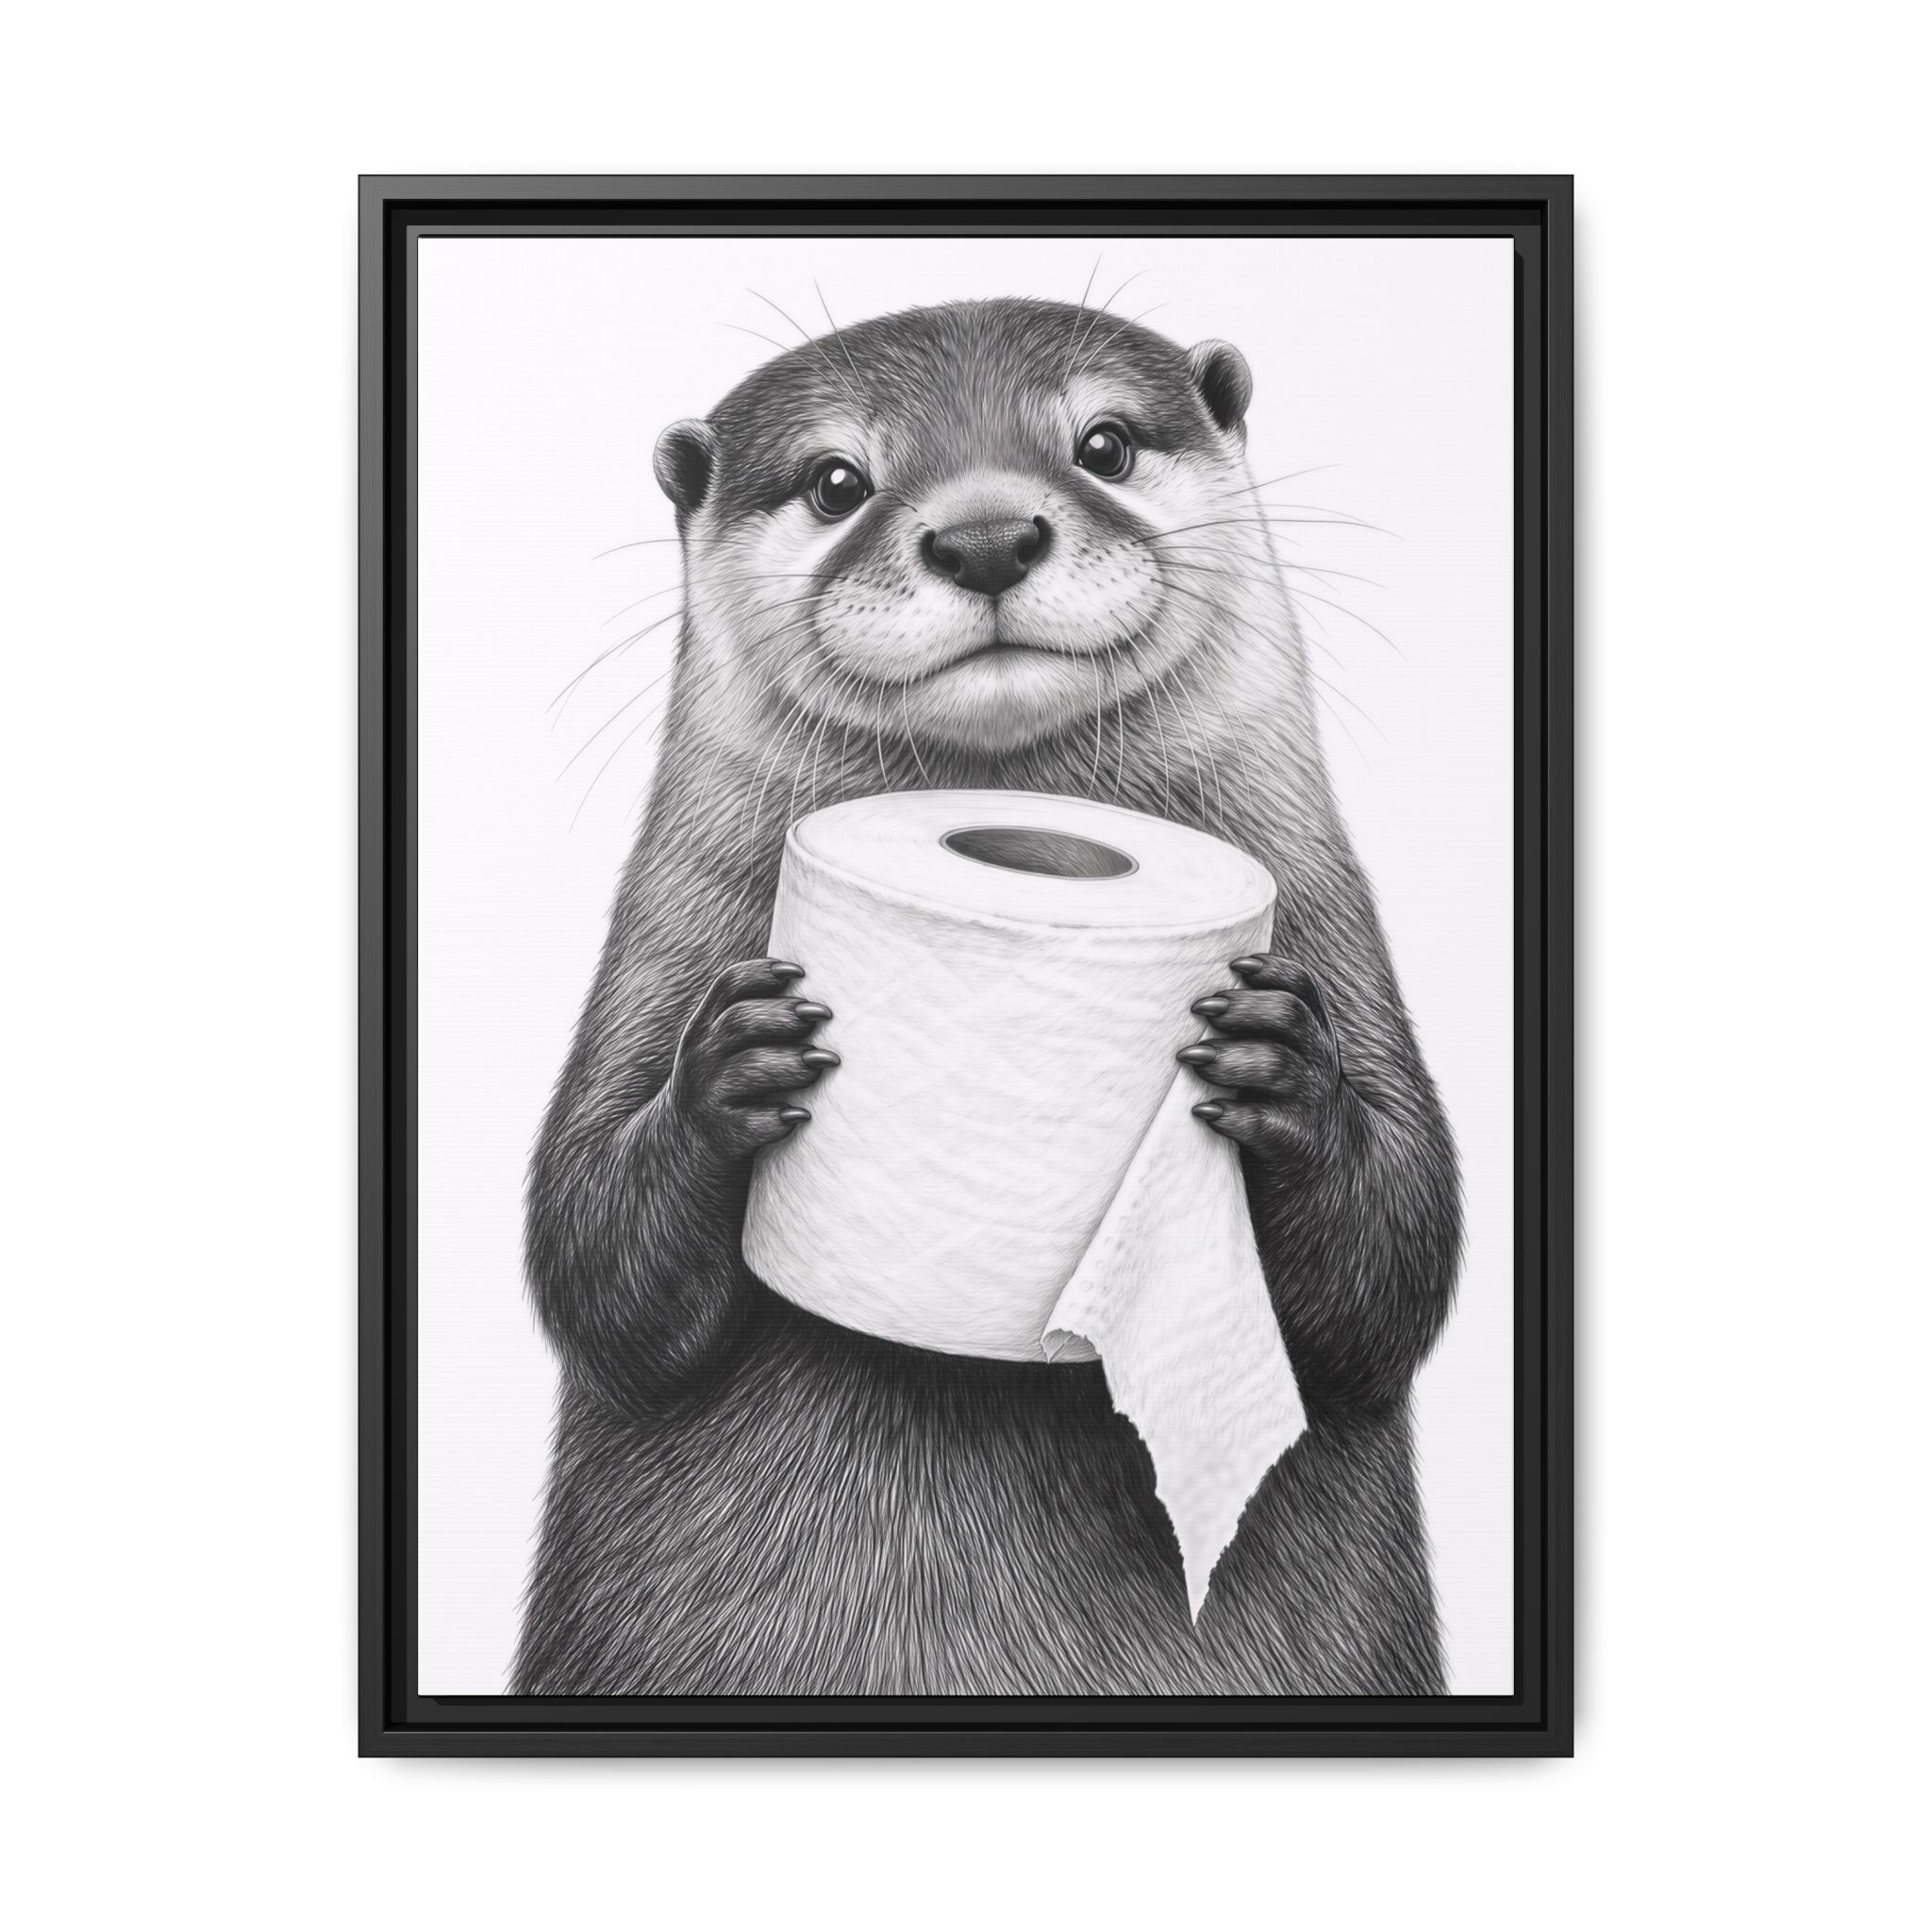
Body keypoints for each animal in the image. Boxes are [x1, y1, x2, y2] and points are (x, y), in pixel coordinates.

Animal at [512, 298, 1461, 1696]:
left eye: (1105, 442)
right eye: (834, 480)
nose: (985, 533)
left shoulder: (1337, 935)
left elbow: (1402, 1257)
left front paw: (1285, 1072)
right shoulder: (650, 955)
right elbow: (589, 1258)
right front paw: (732, 1064)